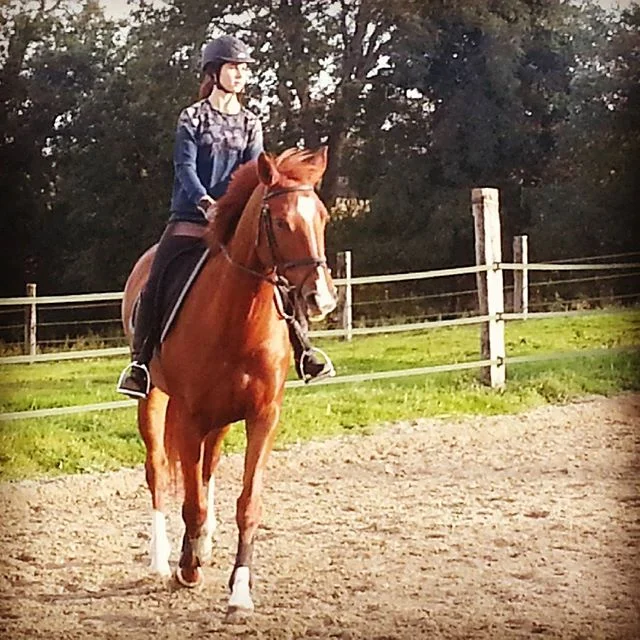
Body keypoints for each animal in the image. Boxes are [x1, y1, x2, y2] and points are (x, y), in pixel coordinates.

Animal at [120, 146, 337, 621]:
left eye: (323, 217)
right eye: (280, 222)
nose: (321, 299)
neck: (238, 317)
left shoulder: (262, 417)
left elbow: (246, 503)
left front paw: (239, 592)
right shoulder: (188, 416)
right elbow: (191, 501)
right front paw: (187, 569)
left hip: (219, 418)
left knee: (207, 468)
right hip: (155, 400)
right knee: (159, 470)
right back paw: (163, 559)